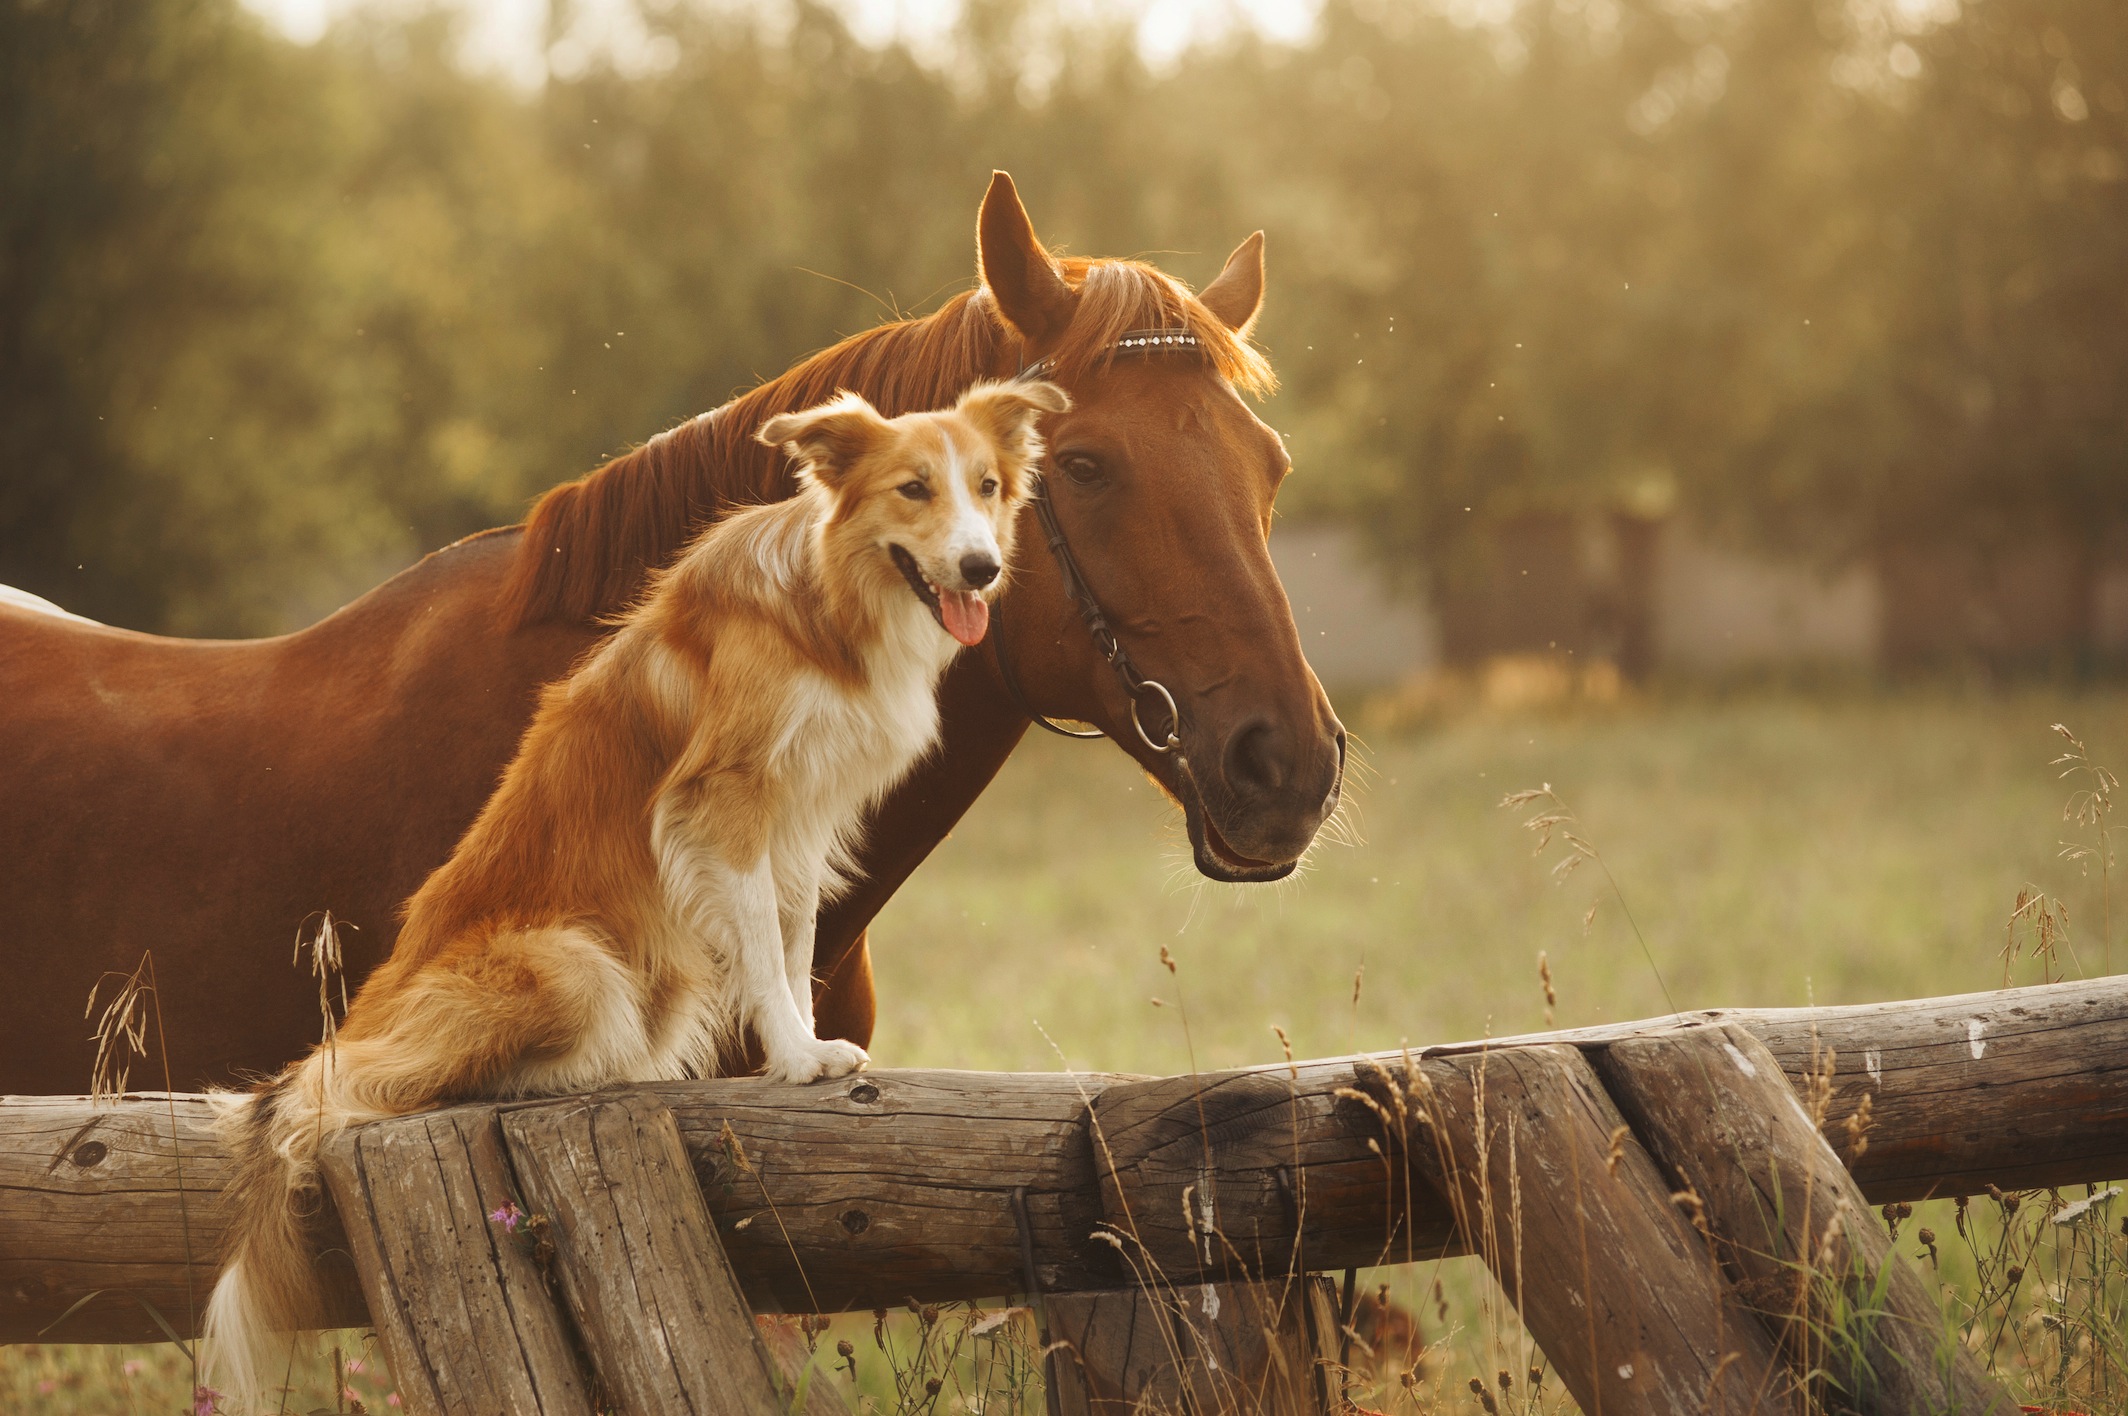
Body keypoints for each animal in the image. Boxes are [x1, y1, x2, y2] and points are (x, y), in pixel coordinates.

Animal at [203, 374, 1064, 1405]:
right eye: (913, 490)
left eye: (987, 485)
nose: (981, 568)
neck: (828, 602)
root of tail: (365, 1014)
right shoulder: (726, 803)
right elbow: (765, 949)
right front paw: (794, 1058)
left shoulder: (802, 821)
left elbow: (794, 941)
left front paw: (807, 1047)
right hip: (575, 965)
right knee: (362, 1087)